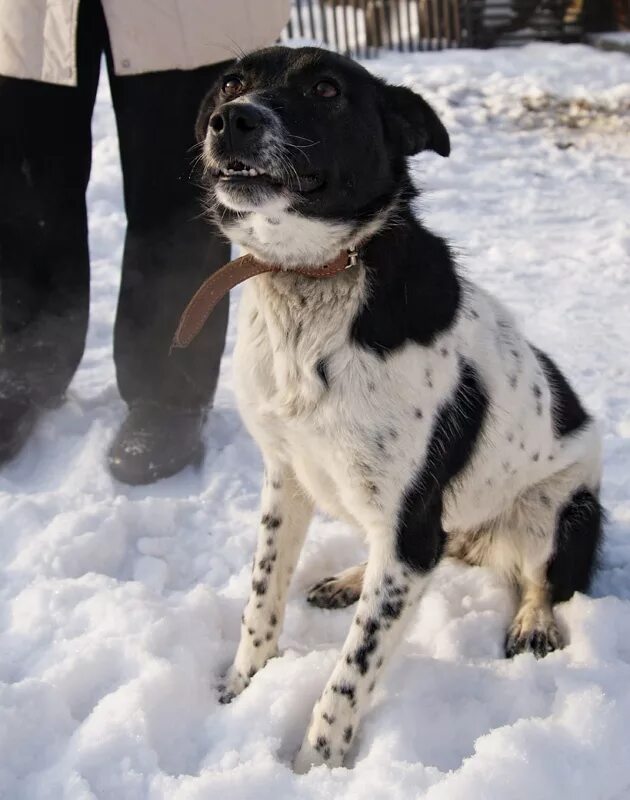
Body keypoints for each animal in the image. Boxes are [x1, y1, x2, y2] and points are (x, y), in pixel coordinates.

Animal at [195, 43, 604, 768]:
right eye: (231, 82)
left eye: (327, 90)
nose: (231, 119)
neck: (313, 283)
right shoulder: (286, 478)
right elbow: (262, 597)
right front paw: (243, 686)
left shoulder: (412, 524)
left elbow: (351, 670)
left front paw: (318, 764)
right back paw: (351, 578)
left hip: (556, 509)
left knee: (548, 580)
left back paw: (532, 622)